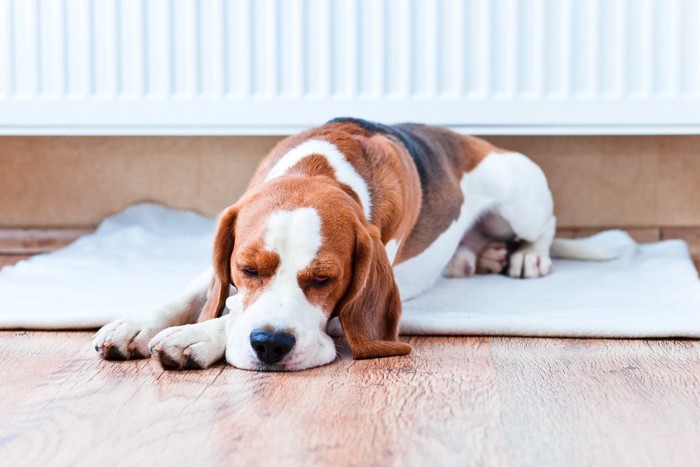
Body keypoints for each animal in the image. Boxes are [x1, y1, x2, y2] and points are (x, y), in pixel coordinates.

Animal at [94, 118, 612, 372]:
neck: (316, 170)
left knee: (546, 224)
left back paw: (527, 255)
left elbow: (232, 315)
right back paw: (474, 255)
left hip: (521, 197)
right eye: (247, 270)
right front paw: (137, 324)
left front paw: (198, 336)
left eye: (326, 279)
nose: (271, 346)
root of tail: (477, 141)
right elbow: (197, 293)